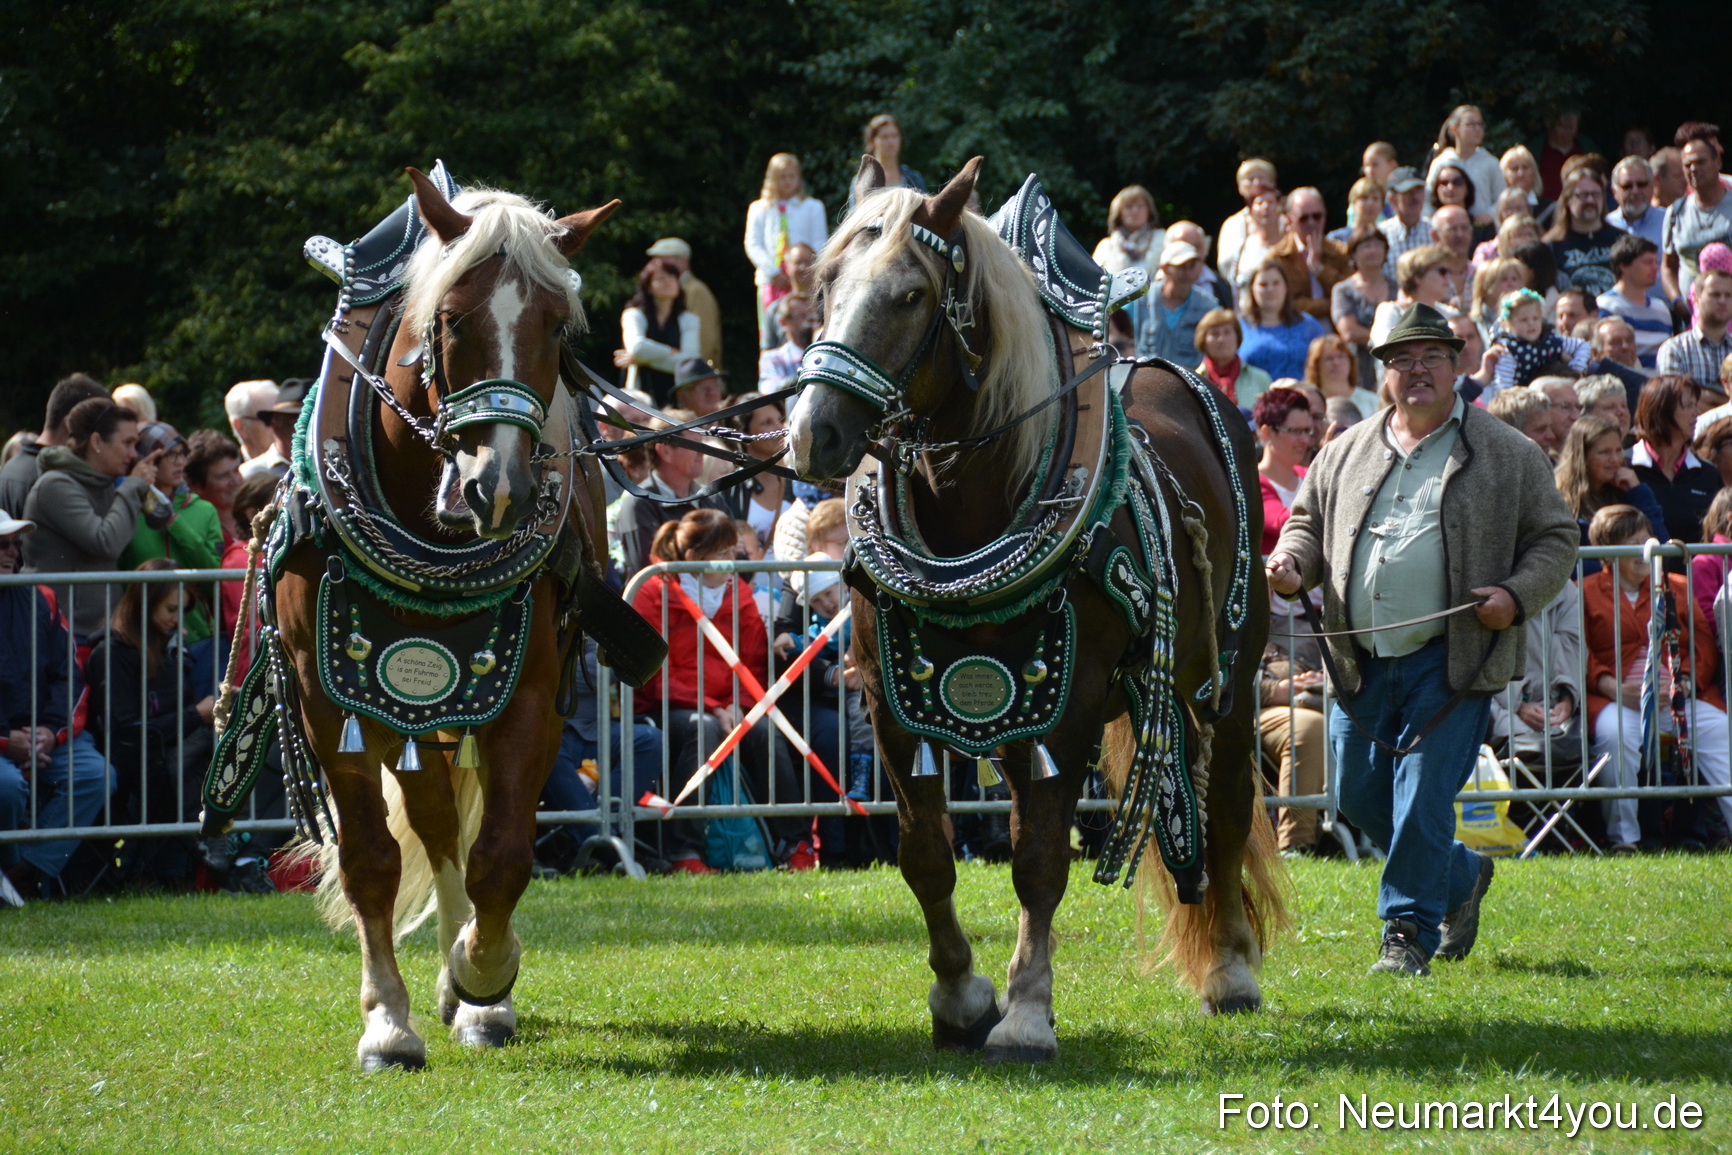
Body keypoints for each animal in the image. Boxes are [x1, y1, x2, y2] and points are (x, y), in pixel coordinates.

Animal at [272, 170, 619, 1070]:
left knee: (456, 829)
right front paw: (388, 1023)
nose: (495, 488)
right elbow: (370, 859)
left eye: (556, 326)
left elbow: (503, 853)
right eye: (453, 319)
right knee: (428, 824)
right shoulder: (329, 698)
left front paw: (484, 976)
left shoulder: (528, 691)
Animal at [787, 157, 1287, 1062]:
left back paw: (1231, 967)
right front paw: (961, 997)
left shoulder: (1072, 700)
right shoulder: (891, 702)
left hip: (1225, 677)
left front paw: (1024, 1011)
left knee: (1228, 803)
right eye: (825, 283)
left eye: (910, 295)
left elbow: (1043, 857)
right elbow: (926, 854)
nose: (815, 435)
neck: (975, 504)